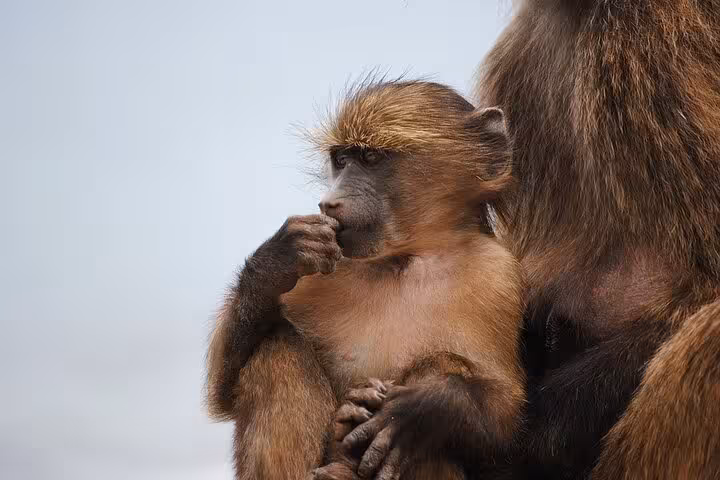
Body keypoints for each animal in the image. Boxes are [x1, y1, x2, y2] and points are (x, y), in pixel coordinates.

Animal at [205, 79, 527, 480]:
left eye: (371, 158)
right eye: (342, 160)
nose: (329, 203)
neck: (404, 260)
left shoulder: (497, 273)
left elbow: (505, 418)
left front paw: (418, 410)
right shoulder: (328, 265)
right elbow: (221, 392)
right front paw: (276, 262)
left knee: (440, 362)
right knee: (276, 347)